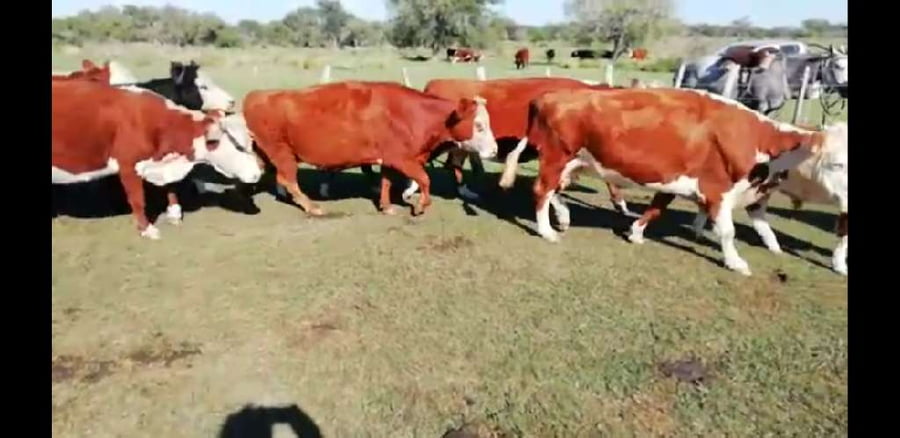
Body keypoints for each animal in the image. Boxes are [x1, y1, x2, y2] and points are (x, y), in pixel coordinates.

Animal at [52, 79, 263, 239]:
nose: (258, 172)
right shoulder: (128, 165)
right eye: (238, 146)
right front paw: (147, 229)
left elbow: (171, 187)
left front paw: (174, 213)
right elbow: (138, 200)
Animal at [242, 81, 498, 217]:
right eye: (479, 125)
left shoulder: (389, 159)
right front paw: (420, 206)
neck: (413, 115)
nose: (495, 150)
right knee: (288, 179)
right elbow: (425, 180)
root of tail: (257, 95)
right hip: (281, 152)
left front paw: (386, 206)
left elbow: (386, 182)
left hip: (269, 153)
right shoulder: (403, 159)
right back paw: (311, 206)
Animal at [499, 87, 847, 276]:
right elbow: (728, 231)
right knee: (542, 190)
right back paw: (546, 231)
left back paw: (563, 218)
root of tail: (550, 95)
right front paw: (735, 261)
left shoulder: (677, 180)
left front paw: (636, 233)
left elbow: (657, 208)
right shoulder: (717, 189)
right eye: (837, 163)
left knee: (555, 191)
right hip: (556, 157)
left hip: (575, 162)